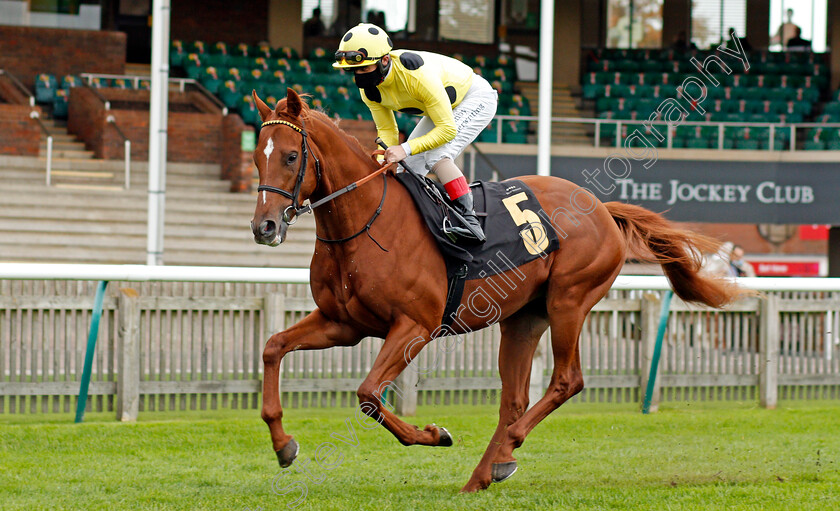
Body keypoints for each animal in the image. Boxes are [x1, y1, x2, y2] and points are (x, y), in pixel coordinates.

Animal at [248, 90, 740, 494]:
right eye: (256, 158)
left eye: (290, 157)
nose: (263, 227)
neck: (366, 223)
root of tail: (602, 206)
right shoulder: (343, 324)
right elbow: (273, 346)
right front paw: (283, 444)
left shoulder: (414, 327)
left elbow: (369, 393)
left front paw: (435, 435)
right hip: (523, 319)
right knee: (513, 400)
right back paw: (486, 472)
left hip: (569, 300)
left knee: (567, 380)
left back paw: (510, 447)